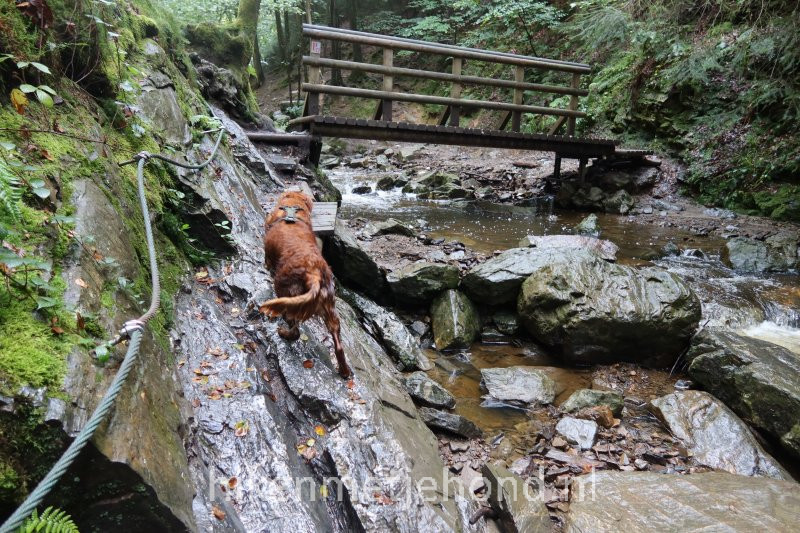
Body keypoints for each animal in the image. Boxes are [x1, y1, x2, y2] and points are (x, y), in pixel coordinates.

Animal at [262, 191, 350, 378]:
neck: (292, 211)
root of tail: (314, 272)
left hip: (286, 294)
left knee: (295, 331)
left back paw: (284, 333)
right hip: (330, 310)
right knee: (338, 344)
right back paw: (344, 370)